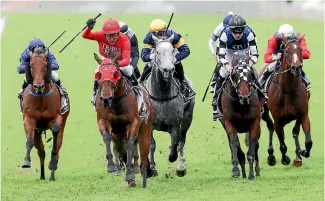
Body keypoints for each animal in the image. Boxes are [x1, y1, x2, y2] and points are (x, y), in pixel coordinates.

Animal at [20, 46, 70, 181]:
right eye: (31, 65)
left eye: (45, 65)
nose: (38, 86)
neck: (41, 96)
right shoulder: (29, 119)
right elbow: (29, 141)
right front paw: (26, 161)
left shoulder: (56, 118)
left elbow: (55, 132)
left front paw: (52, 163)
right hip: (37, 132)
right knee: (41, 152)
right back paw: (42, 175)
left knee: (57, 147)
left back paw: (52, 172)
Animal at [92, 52, 154, 188]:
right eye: (99, 74)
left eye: (115, 73)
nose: (106, 98)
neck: (116, 102)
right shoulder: (103, 121)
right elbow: (107, 138)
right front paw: (111, 167)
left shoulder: (133, 123)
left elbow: (130, 144)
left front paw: (130, 174)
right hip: (118, 134)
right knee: (119, 148)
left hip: (145, 128)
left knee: (142, 149)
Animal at [141, 33, 195, 177]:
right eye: (157, 52)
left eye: (172, 50)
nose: (168, 69)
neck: (162, 95)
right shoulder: (149, 124)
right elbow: (151, 145)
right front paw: (151, 169)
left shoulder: (176, 123)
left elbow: (175, 146)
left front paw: (175, 161)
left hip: (188, 118)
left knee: (182, 140)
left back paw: (181, 168)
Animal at [215, 51, 264, 181]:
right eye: (235, 74)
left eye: (250, 74)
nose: (244, 97)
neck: (241, 105)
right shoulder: (229, 123)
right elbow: (234, 144)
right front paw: (236, 170)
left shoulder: (254, 123)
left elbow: (252, 147)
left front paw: (251, 174)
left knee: (256, 145)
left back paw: (256, 170)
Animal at [258, 33, 312, 167]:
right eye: (286, 51)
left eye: (300, 50)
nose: (296, 68)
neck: (288, 90)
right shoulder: (278, 119)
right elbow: (282, 143)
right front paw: (285, 158)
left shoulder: (303, 115)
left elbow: (307, 141)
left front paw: (301, 152)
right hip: (264, 112)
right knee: (270, 127)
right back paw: (271, 156)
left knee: (294, 132)